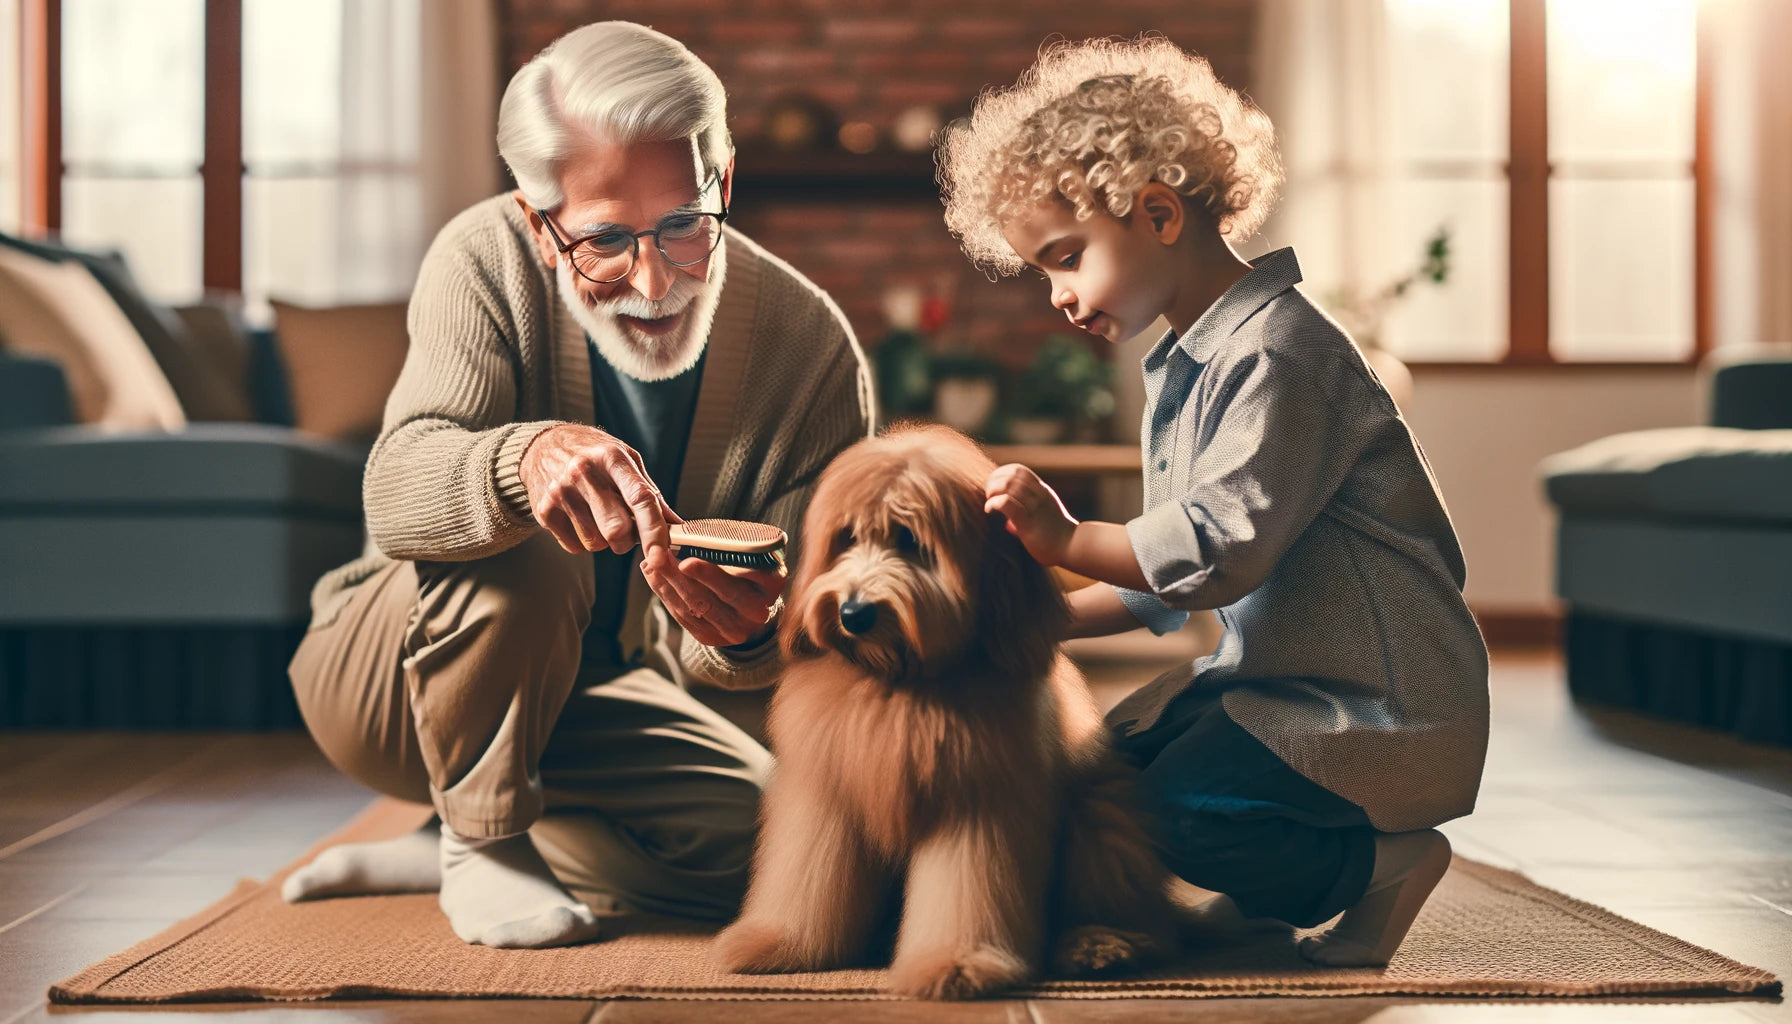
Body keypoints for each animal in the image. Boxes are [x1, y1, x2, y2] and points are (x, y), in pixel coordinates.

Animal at [713, 425, 1175, 1004]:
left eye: (911, 541)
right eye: (846, 537)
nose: (854, 612)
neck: (898, 684)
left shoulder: (976, 803)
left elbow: (965, 892)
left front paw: (956, 964)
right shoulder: (825, 797)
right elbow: (807, 880)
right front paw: (778, 942)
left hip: (1099, 823)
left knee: (1132, 910)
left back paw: (1099, 944)